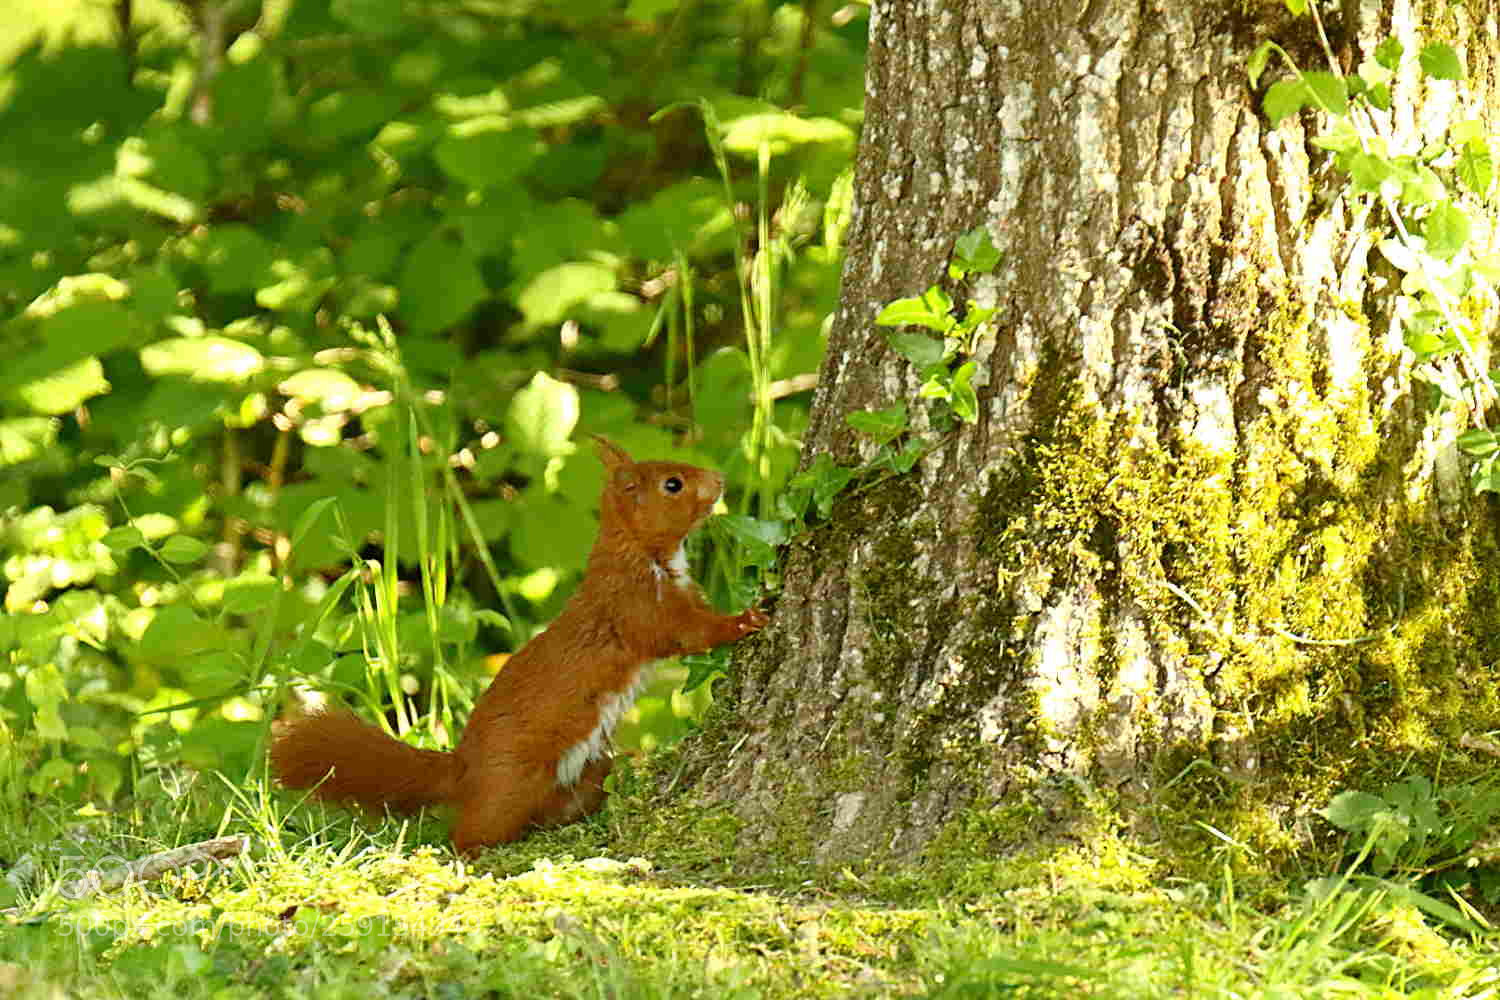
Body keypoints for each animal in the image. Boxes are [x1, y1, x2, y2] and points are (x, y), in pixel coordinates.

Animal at [269, 436, 768, 856]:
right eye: (673, 484)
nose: (720, 480)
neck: (639, 554)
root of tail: (463, 770)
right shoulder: (638, 607)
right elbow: (688, 635)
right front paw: (747, 620)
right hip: (512, 783)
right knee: (473, 828)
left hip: (583, 769)